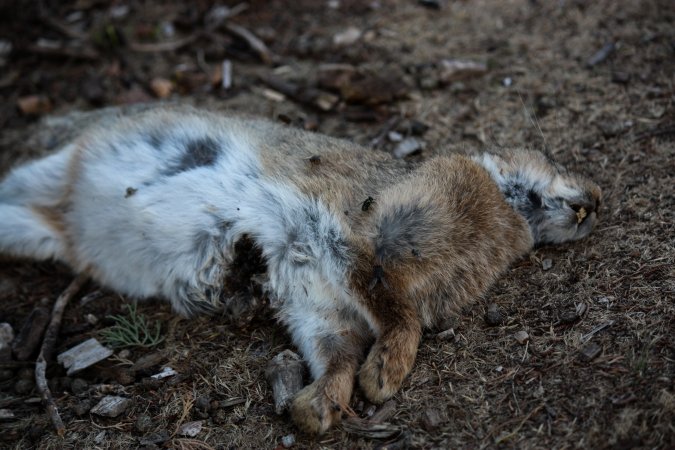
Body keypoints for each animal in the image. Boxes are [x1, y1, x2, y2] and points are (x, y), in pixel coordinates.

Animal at [0, 106, 601, 433]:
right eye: (546, 159)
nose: (594, 202)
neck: (502, 200)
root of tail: (68, 209)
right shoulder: (353, 238)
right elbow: (395, 310)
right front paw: (385, 376)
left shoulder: (320, 306)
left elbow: (337, 354)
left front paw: (319, 407)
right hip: (50, 172)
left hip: (41, 222)